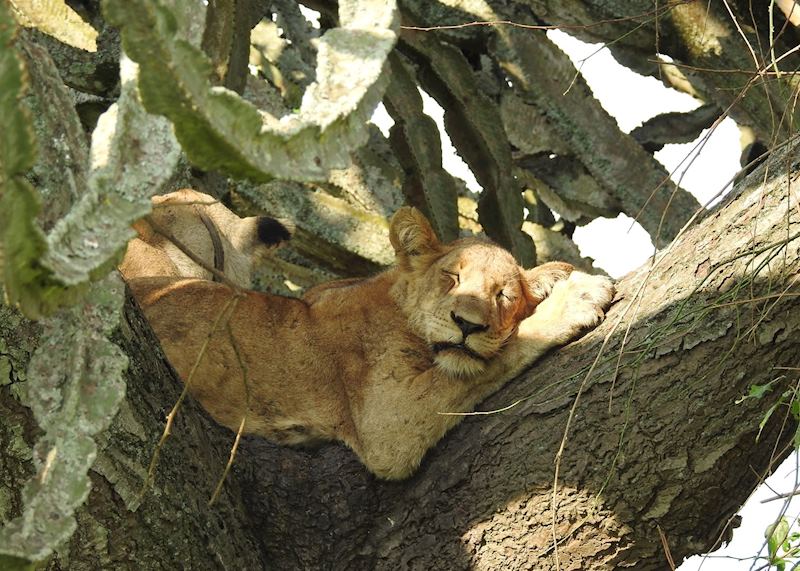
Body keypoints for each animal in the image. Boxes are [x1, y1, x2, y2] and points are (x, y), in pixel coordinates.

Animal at [126, 204, 614, 479]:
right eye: (452, 277)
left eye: (503, 296)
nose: (467, 324)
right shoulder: (385, 423)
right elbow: (499, 354)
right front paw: (580, 294)